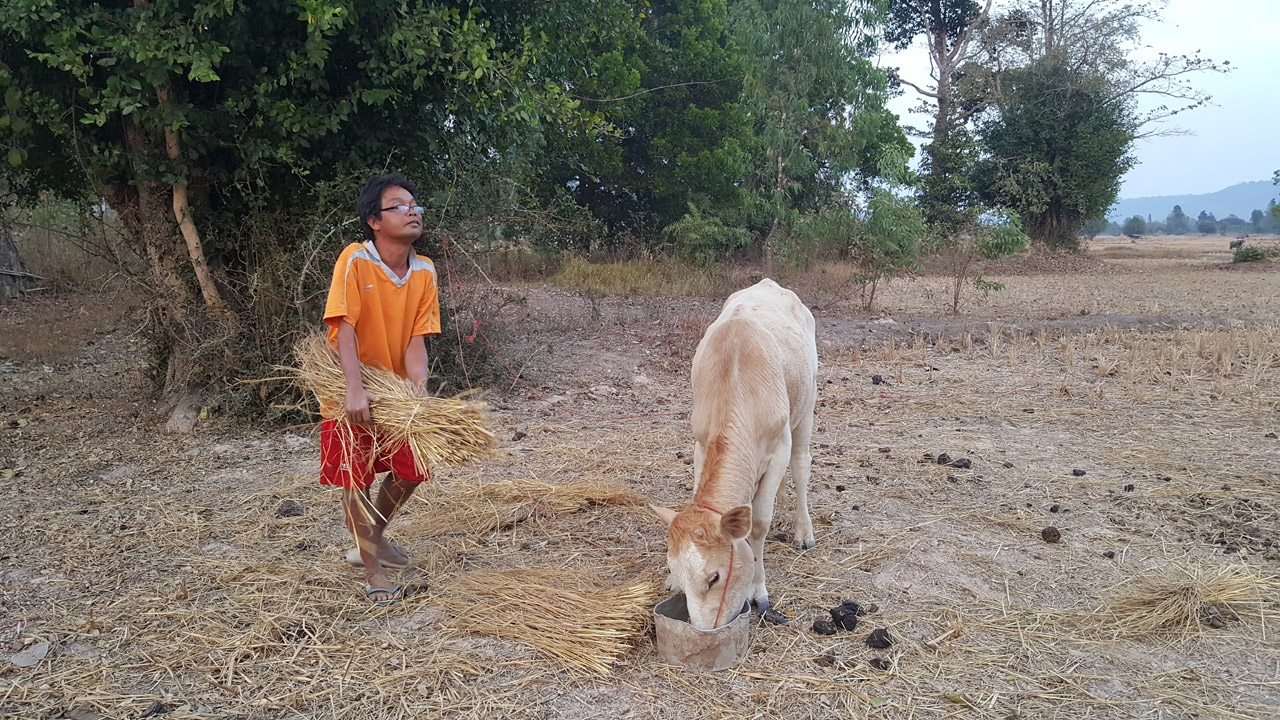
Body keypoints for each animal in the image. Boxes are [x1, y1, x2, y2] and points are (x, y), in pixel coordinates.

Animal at [650, 278, 819, 625]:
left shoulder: (779, 447)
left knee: (801, 465)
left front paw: (759, 591)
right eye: (677, 571)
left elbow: (760, 521)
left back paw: (803, 531)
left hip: (808, 402)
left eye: (714, 577)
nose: (703, 630)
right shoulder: (701, 444)